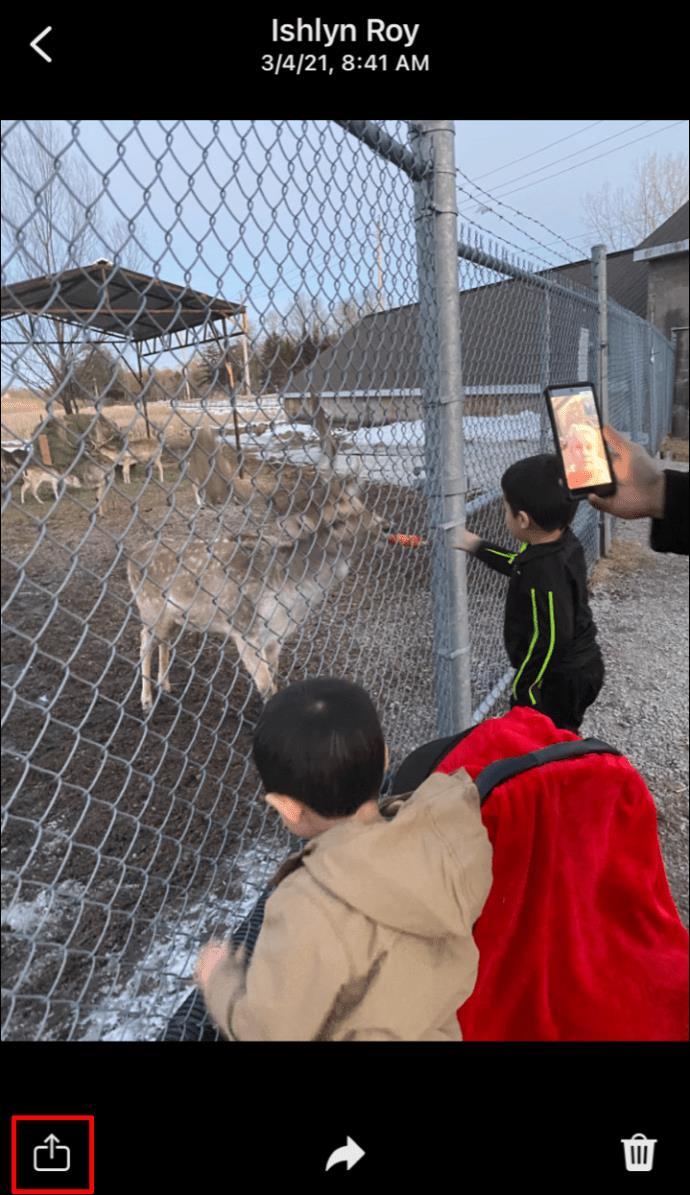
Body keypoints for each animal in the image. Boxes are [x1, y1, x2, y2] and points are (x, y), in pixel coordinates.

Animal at [126, 468, 387, 707]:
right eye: (336, 523)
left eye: (363, 507)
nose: (384, 526)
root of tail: (132, 557)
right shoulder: (244, 629)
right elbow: (265, 684)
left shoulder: (276, 636)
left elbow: (274, 677)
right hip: (149, 607)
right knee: (144, 640)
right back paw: (146, 700)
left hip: (172, 616)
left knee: (164, 640)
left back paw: (166, 685)